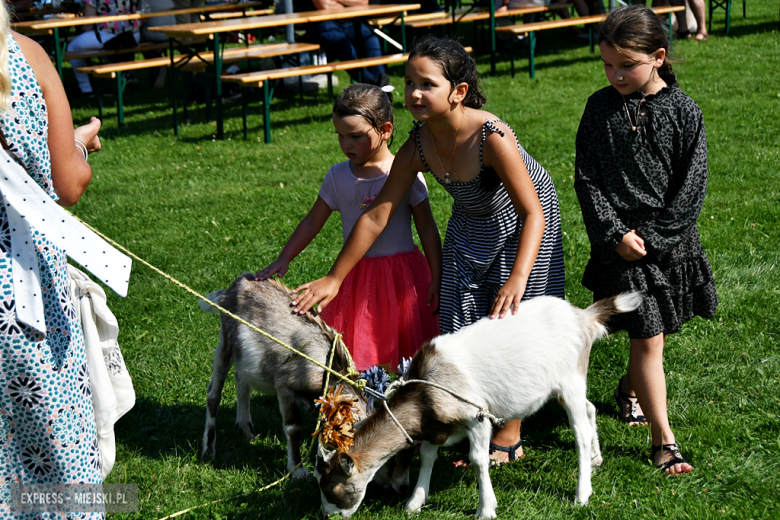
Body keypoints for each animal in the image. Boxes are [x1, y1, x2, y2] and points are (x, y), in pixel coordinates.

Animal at [314, 292, 644, 516]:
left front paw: (486, 509)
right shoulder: (435, 425)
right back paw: (597, 458)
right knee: (589, 409)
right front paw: (415, 502)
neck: (426, 390)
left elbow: (478, 460)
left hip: (571, 378)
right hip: (568, 385)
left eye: (334, 488)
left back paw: (582, 493)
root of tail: (583, 318)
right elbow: (429, 456)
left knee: (580, 433)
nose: (328, 515)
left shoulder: (477, 417)